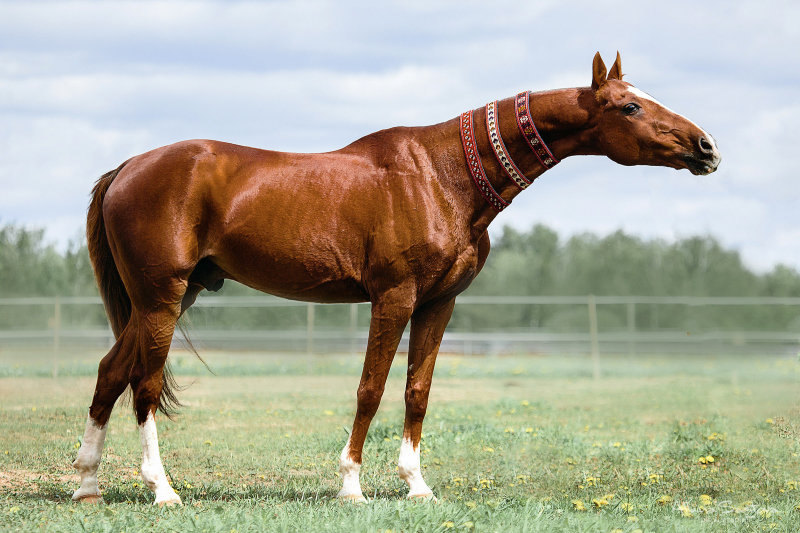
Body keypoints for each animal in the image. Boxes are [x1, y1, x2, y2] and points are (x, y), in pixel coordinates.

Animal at [70, 52, 720, 504]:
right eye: (630, 107)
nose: (706, 147)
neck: (442, 174)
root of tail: (129, 168)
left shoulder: (438, 304)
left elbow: (416, 391)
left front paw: (416, 484)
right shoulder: (394, 297)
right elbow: (370, 388)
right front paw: (351, 486)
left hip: (166, 300)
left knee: (110, 372)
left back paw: (86, 484)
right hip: (161, 298)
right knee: (144, 385)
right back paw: (162, 490)